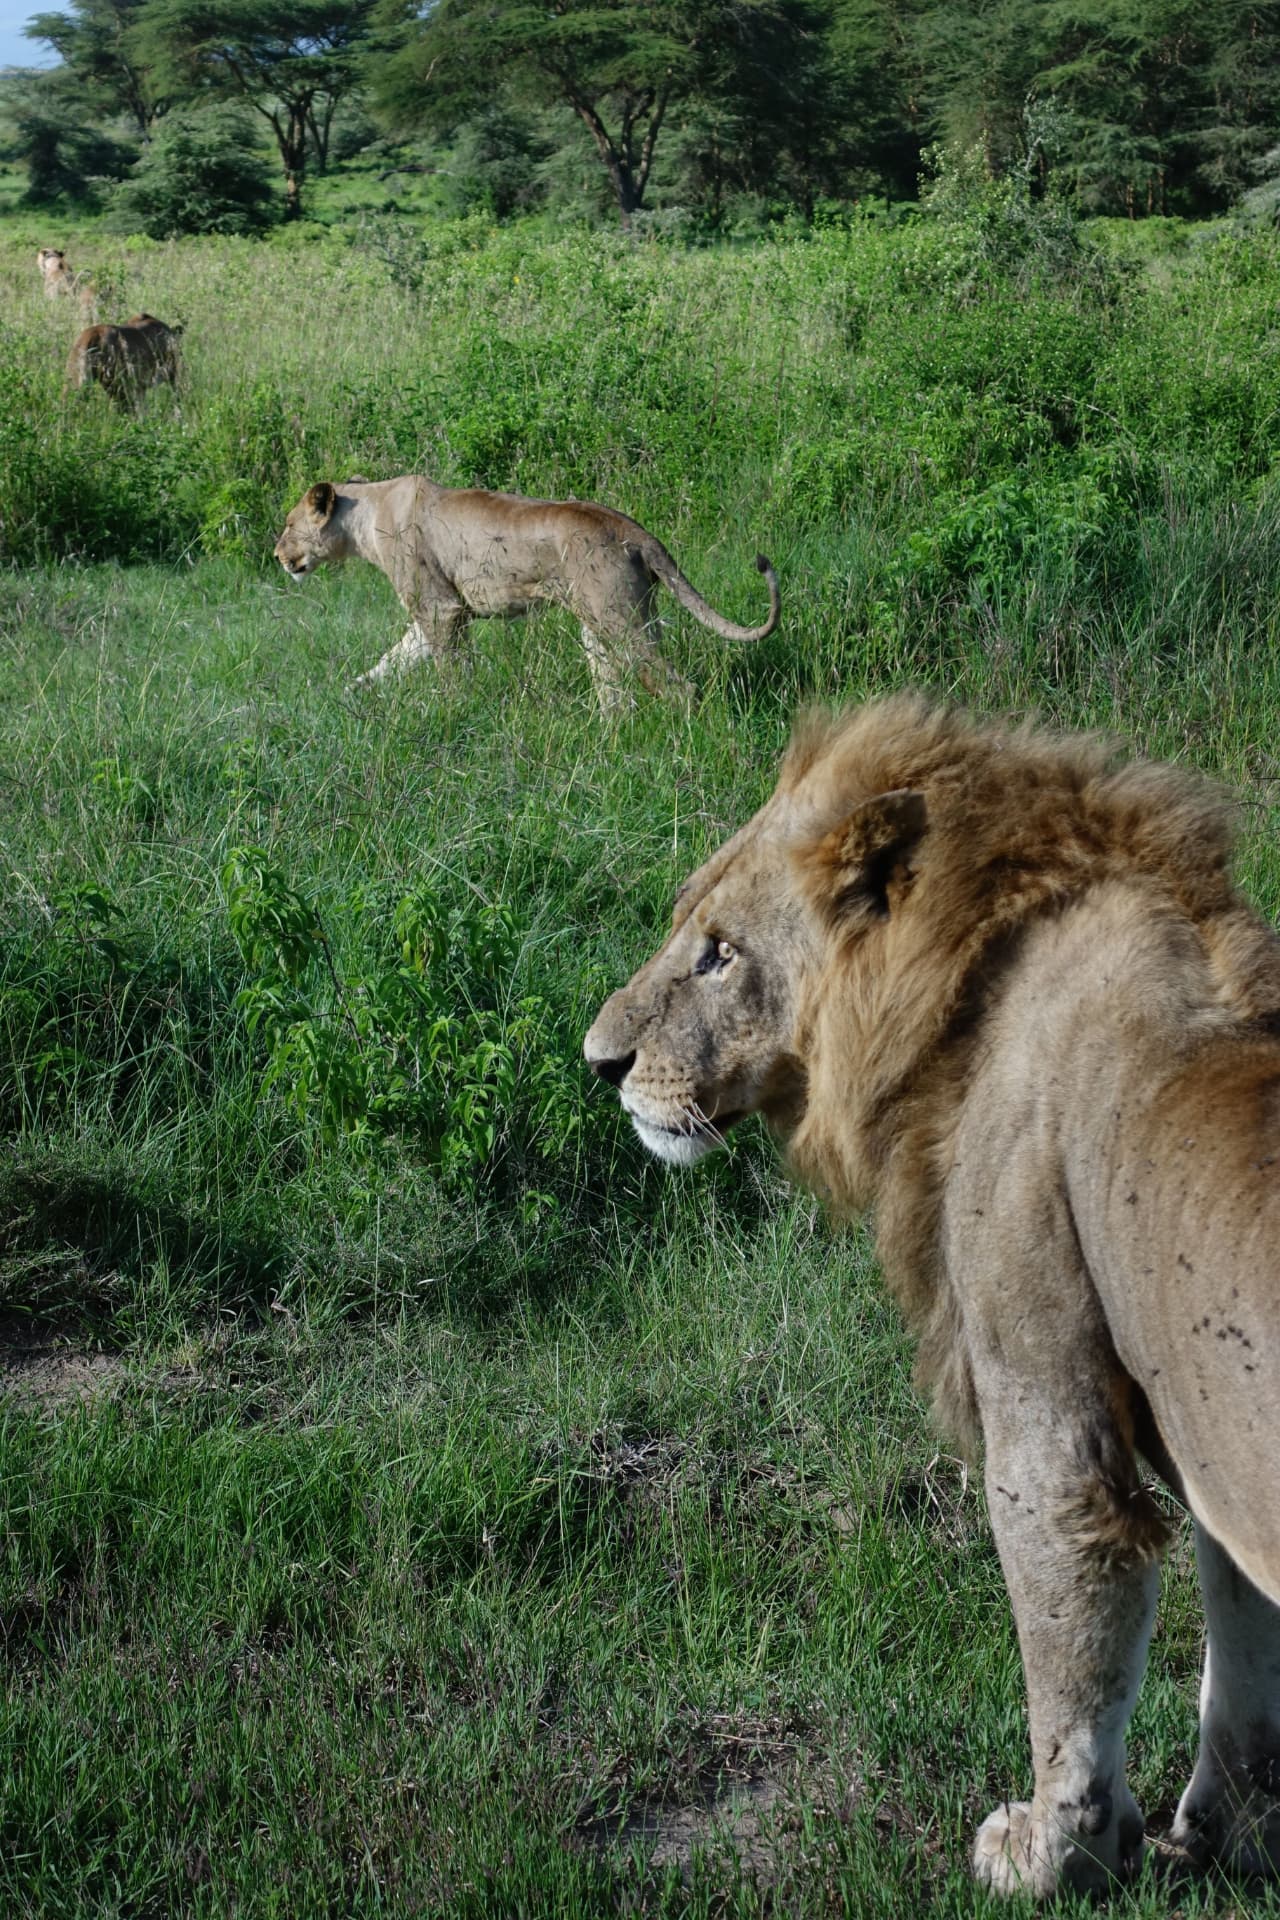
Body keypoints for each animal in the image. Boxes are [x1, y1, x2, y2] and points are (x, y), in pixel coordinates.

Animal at [273, 477, 780, 712]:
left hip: (621, 620)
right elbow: (390, 661)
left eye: (289, 525)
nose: (278, 555)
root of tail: (635, 530)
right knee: (615, 692)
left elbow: (451, 670)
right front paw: (349, 693)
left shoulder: (440, 609)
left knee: (678, 687)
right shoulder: (431, 616)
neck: (363, 518)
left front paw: (456, 707)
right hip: (601, 625)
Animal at [585, 691, 1280, 1898]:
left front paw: (1054, 1853)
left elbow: (1068, 1653)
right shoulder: (1212, 1452)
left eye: (719, 954)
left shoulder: (1045, 1406)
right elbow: (1242, 1666)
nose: (599, 1062)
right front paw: (1221, 1835)